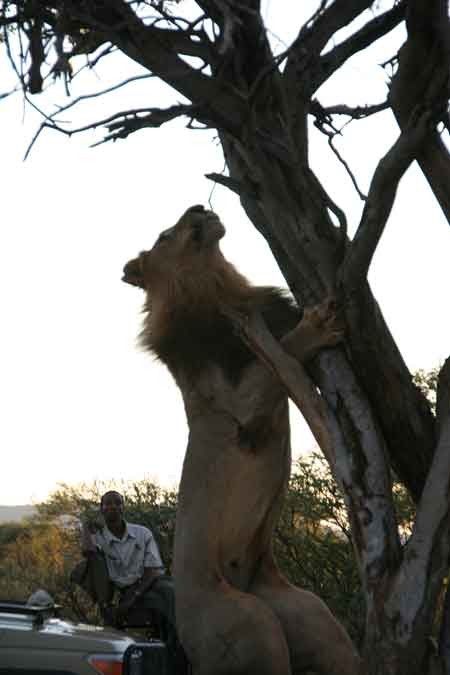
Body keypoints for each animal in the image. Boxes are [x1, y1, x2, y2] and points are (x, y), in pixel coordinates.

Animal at [123, 206, 362, 675]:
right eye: (165, 235)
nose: (198, 207)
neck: (217, 287)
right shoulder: (239, 406)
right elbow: (285, 350)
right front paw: (318, 324)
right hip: (248, 622)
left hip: (307, 613)